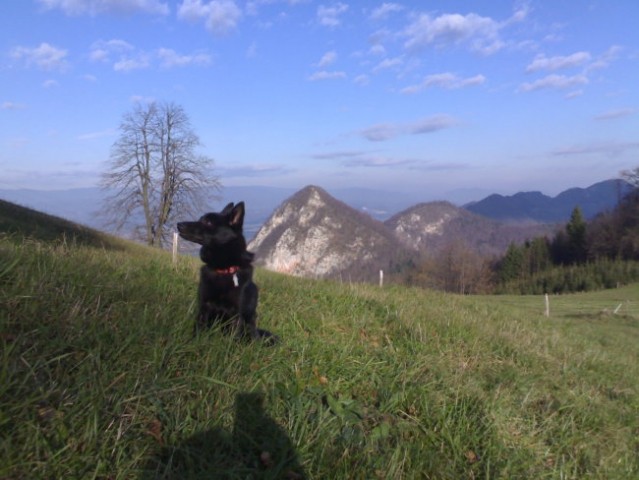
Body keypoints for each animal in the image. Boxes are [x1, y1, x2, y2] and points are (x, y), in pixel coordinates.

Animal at [176, 201, 276, 344]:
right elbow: (198, 330)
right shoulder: (204, 307)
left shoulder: (236, 314)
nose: (179, 224)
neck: (223, 270)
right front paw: (194, 344)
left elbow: (233, 340)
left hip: (250, 323)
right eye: (201, 219)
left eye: (208, 222)